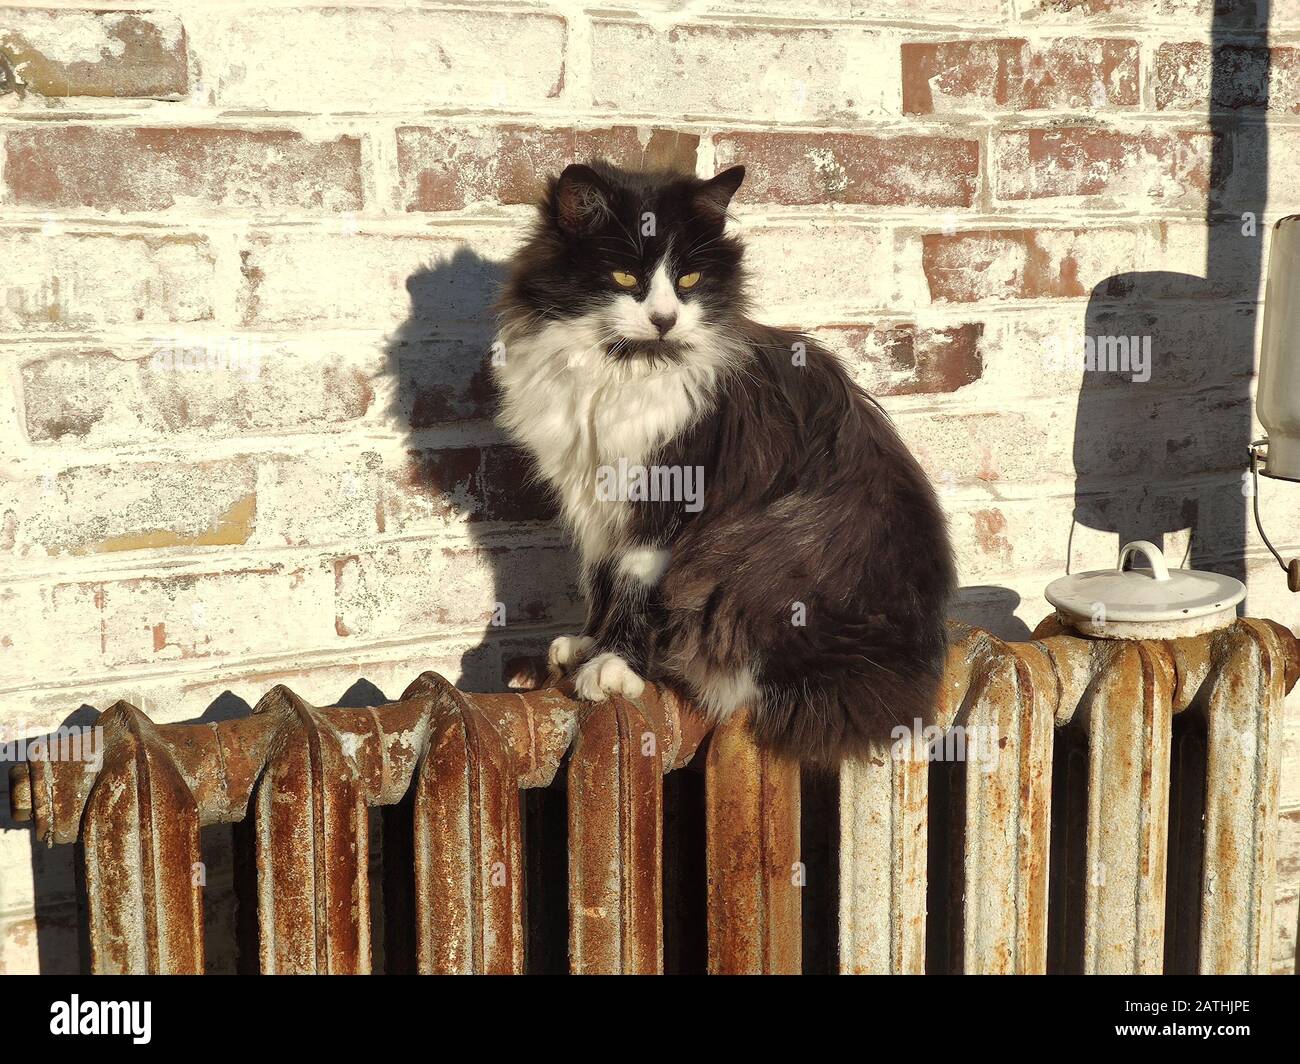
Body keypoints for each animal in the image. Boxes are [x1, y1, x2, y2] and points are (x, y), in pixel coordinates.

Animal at [488, 159, 956, 764]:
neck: (622, 371)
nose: (665, 319)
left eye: (688, 282)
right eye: (624, 278)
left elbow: (633, 584)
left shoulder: (668, 496)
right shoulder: (595, 492)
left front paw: (614, 665)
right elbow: (599, 575)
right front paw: (588, 643)